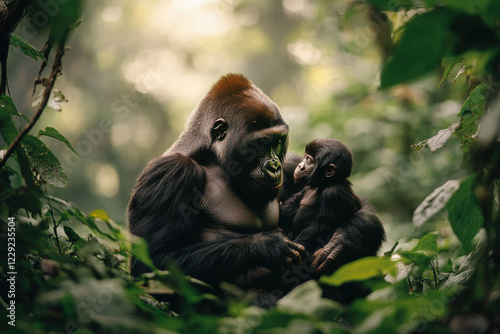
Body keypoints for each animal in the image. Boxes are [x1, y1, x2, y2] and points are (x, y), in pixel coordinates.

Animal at [127, 73, 302, 290]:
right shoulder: (171, 172)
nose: (274, 166)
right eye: (261, 144)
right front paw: (268, 247)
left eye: (277, 142)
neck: (214, 158)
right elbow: (154, 261)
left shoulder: (292, 166)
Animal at [280, 139, 384, 276]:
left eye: (309, 160)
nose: (300, 166)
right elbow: (289, 207)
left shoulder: (334, 193)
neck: (323, 185)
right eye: (305, 157)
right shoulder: (305, 189)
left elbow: (323, 225)